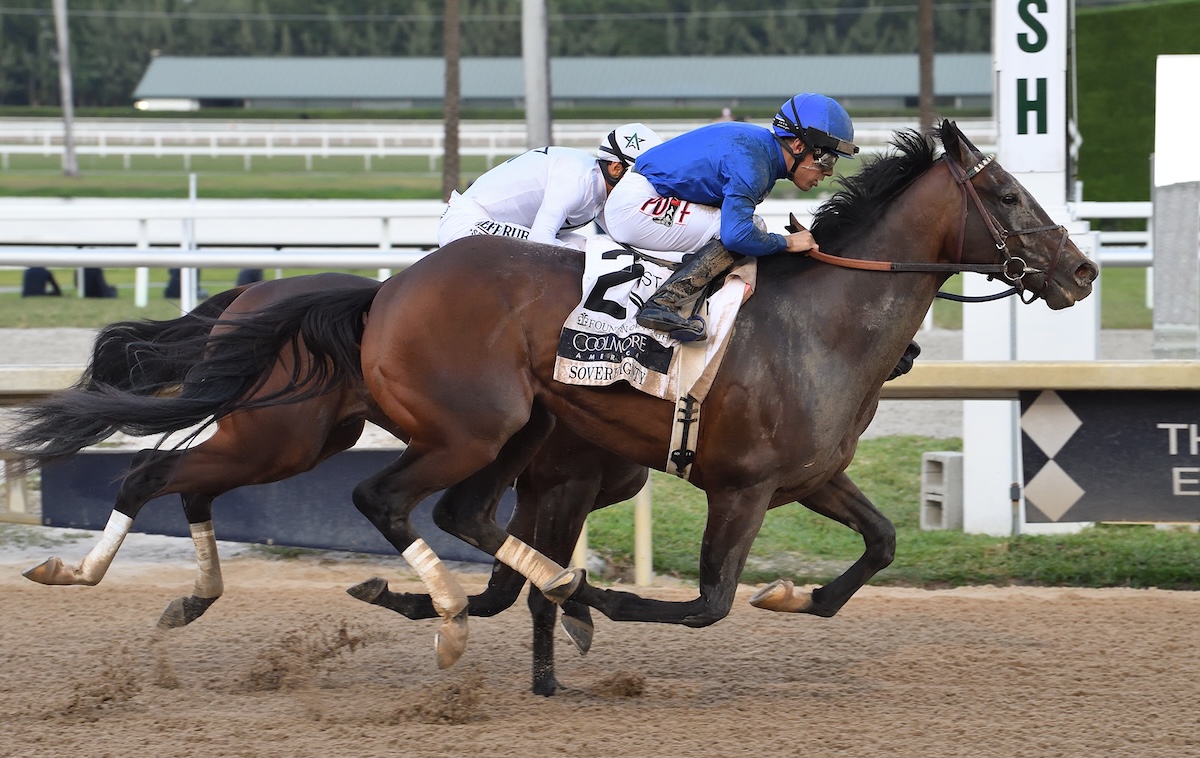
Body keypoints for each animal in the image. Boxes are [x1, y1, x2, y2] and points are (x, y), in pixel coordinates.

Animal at [9, 275, 648, 695]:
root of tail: (248, 296)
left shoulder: (541, 488)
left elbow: (511, 583)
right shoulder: (564, 483)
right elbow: (528, 589)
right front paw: (552, 664)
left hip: (293, 442)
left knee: (190, 488)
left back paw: (191, 596)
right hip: (277, 438)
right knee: (151, 472)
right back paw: (82, 571)